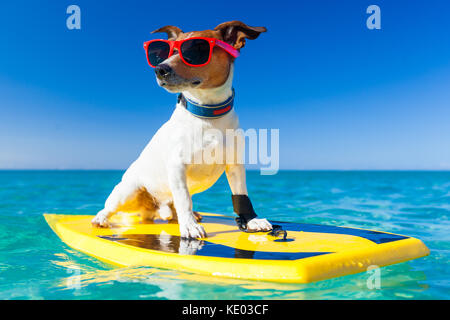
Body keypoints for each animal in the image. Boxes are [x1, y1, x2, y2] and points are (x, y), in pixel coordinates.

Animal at [91, 20, 270, 238]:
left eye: (196, 50)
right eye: (166, 53)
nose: (160, 69)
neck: (207, 114)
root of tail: (152, 209)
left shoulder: (235, 165)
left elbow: (240, 195)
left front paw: (251, 220)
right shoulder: (177, 166)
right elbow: (184, 198)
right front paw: (190, 226)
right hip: (128, 191)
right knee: (110, 207)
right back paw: (101, 218)